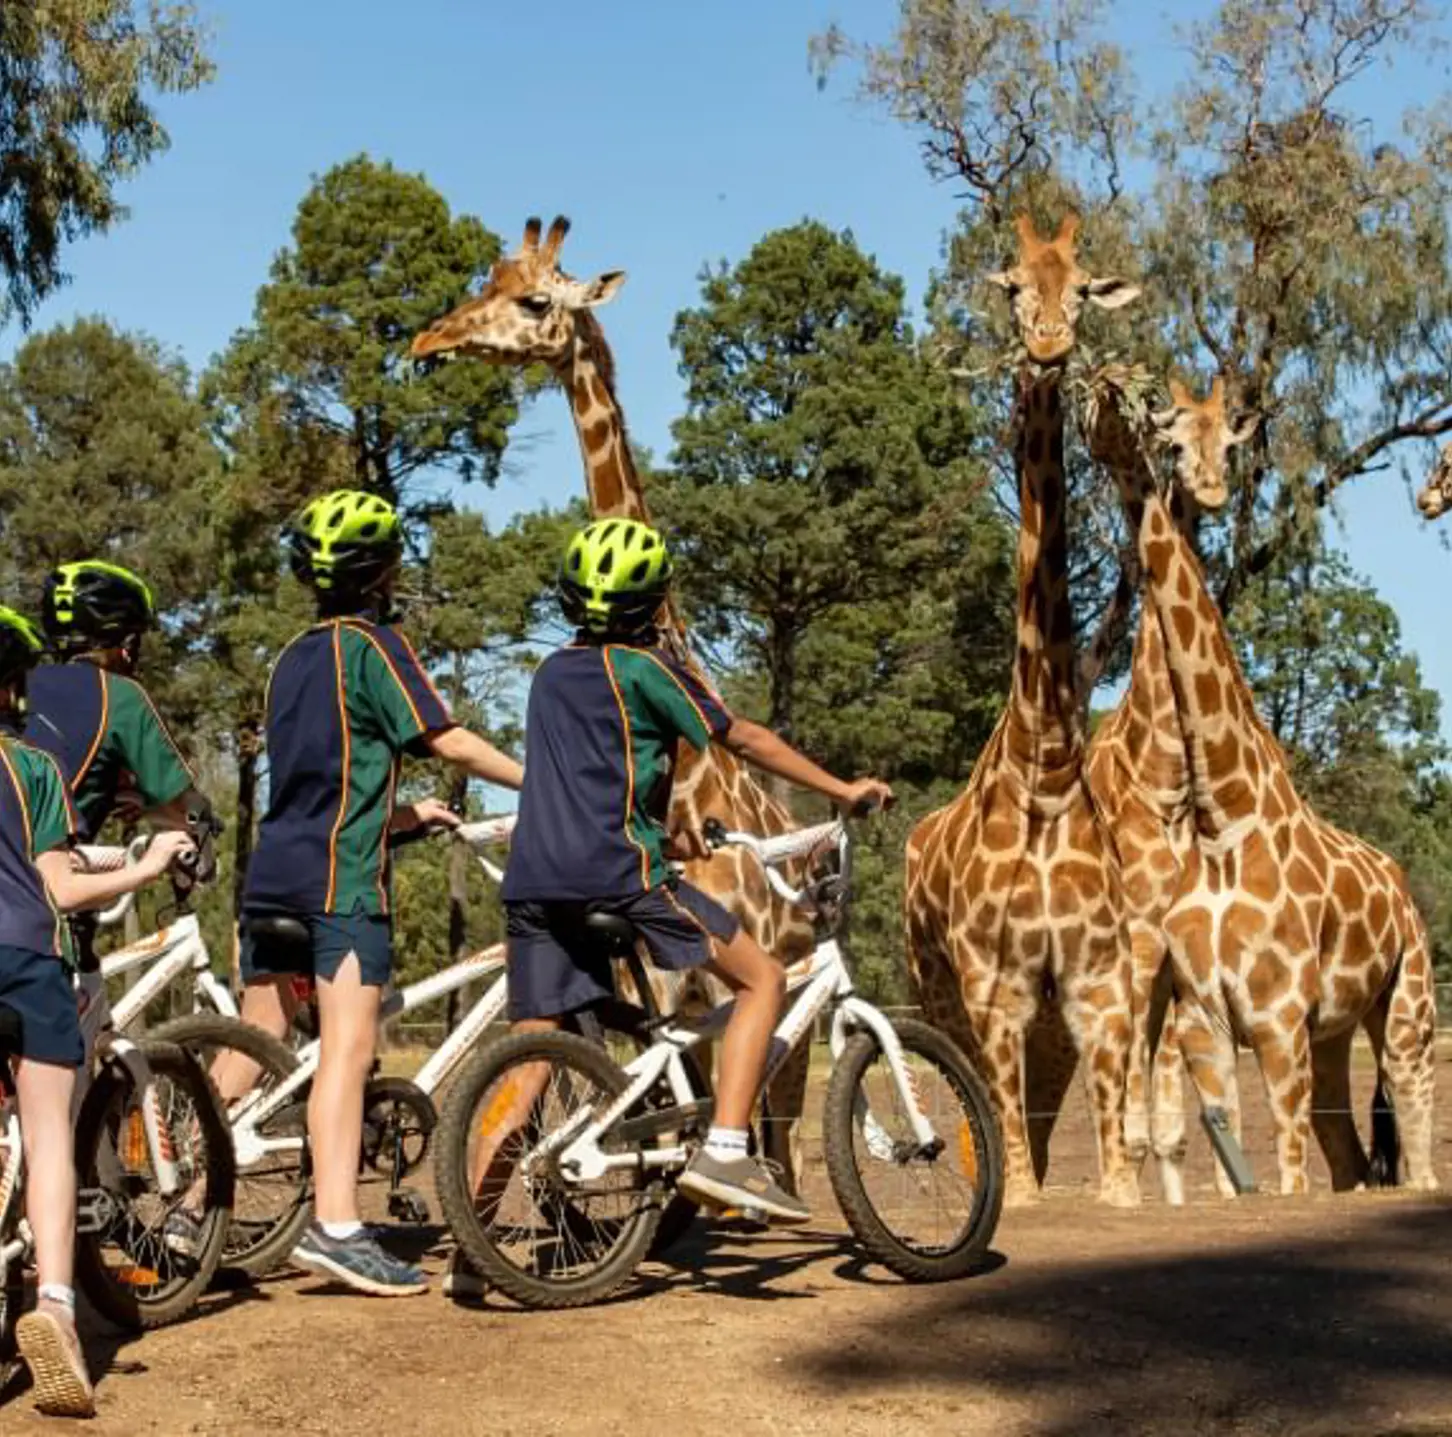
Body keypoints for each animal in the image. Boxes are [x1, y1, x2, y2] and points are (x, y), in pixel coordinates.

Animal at [409, 216, 815, 1179]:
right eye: (489, 280)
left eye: (535, 300)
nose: (427, 342)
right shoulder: (667, 982)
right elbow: (645, 1108)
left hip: (787, 1001)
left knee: (784, 1117)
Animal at [1085, 365, 1439, 1195]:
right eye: (1171, 435)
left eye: (1227, 443)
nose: (1211, 489)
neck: (1221, 814)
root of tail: (1402, 885)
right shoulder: (1205, 1017)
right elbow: (1218, 1150)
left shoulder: (1278, 1021)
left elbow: (1282, 1167)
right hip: (1335, 1030)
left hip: (1404, 1013)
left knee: (1409, 1147)